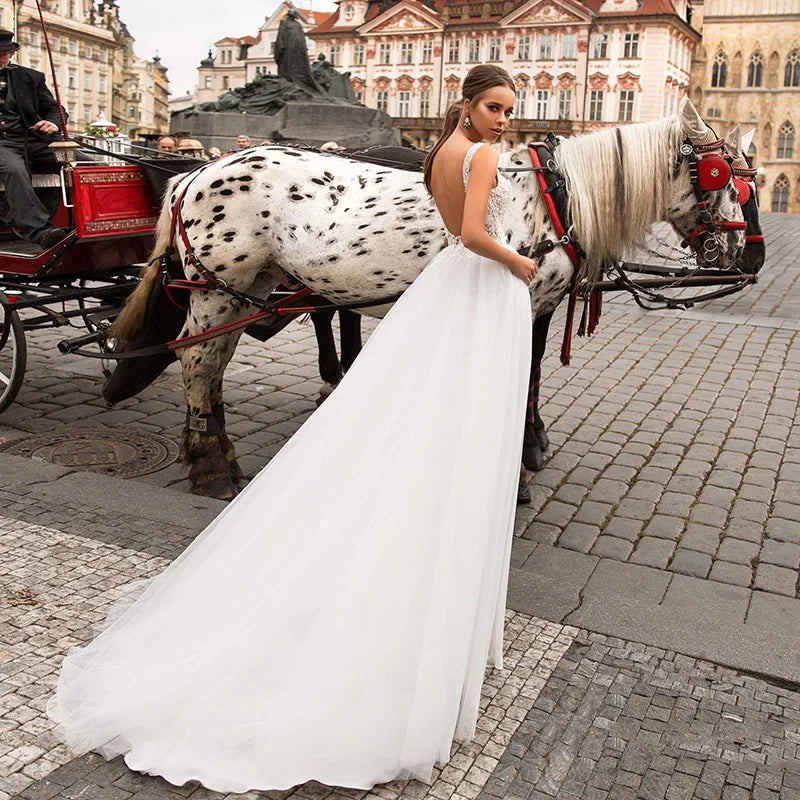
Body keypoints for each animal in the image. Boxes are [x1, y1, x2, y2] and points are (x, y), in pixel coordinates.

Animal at [108, 100, 756, 500]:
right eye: (724, 177)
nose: (745, 256)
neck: (554, 197)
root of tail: (197, 171)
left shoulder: (540, 307)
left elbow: (531, 376)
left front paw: (530, 446)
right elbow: (517, 377)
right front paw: (517, 470)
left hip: (249, 288)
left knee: (213, 362)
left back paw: (217, 451)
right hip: (219, 288)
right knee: (197, 361)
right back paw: (212, 467)